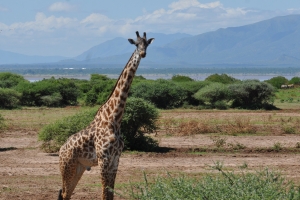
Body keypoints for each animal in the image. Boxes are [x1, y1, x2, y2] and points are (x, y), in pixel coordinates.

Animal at [57, 31, 154, 200]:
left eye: (147, 44)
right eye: (136, 44)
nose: (143, 53)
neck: (114, 118)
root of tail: (61, 150)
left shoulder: (115, 159)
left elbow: (110, 193)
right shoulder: (104, 159)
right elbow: (104, 193)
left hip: (79, 167)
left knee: (67, 194)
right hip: (67, 166)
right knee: (63, 194)